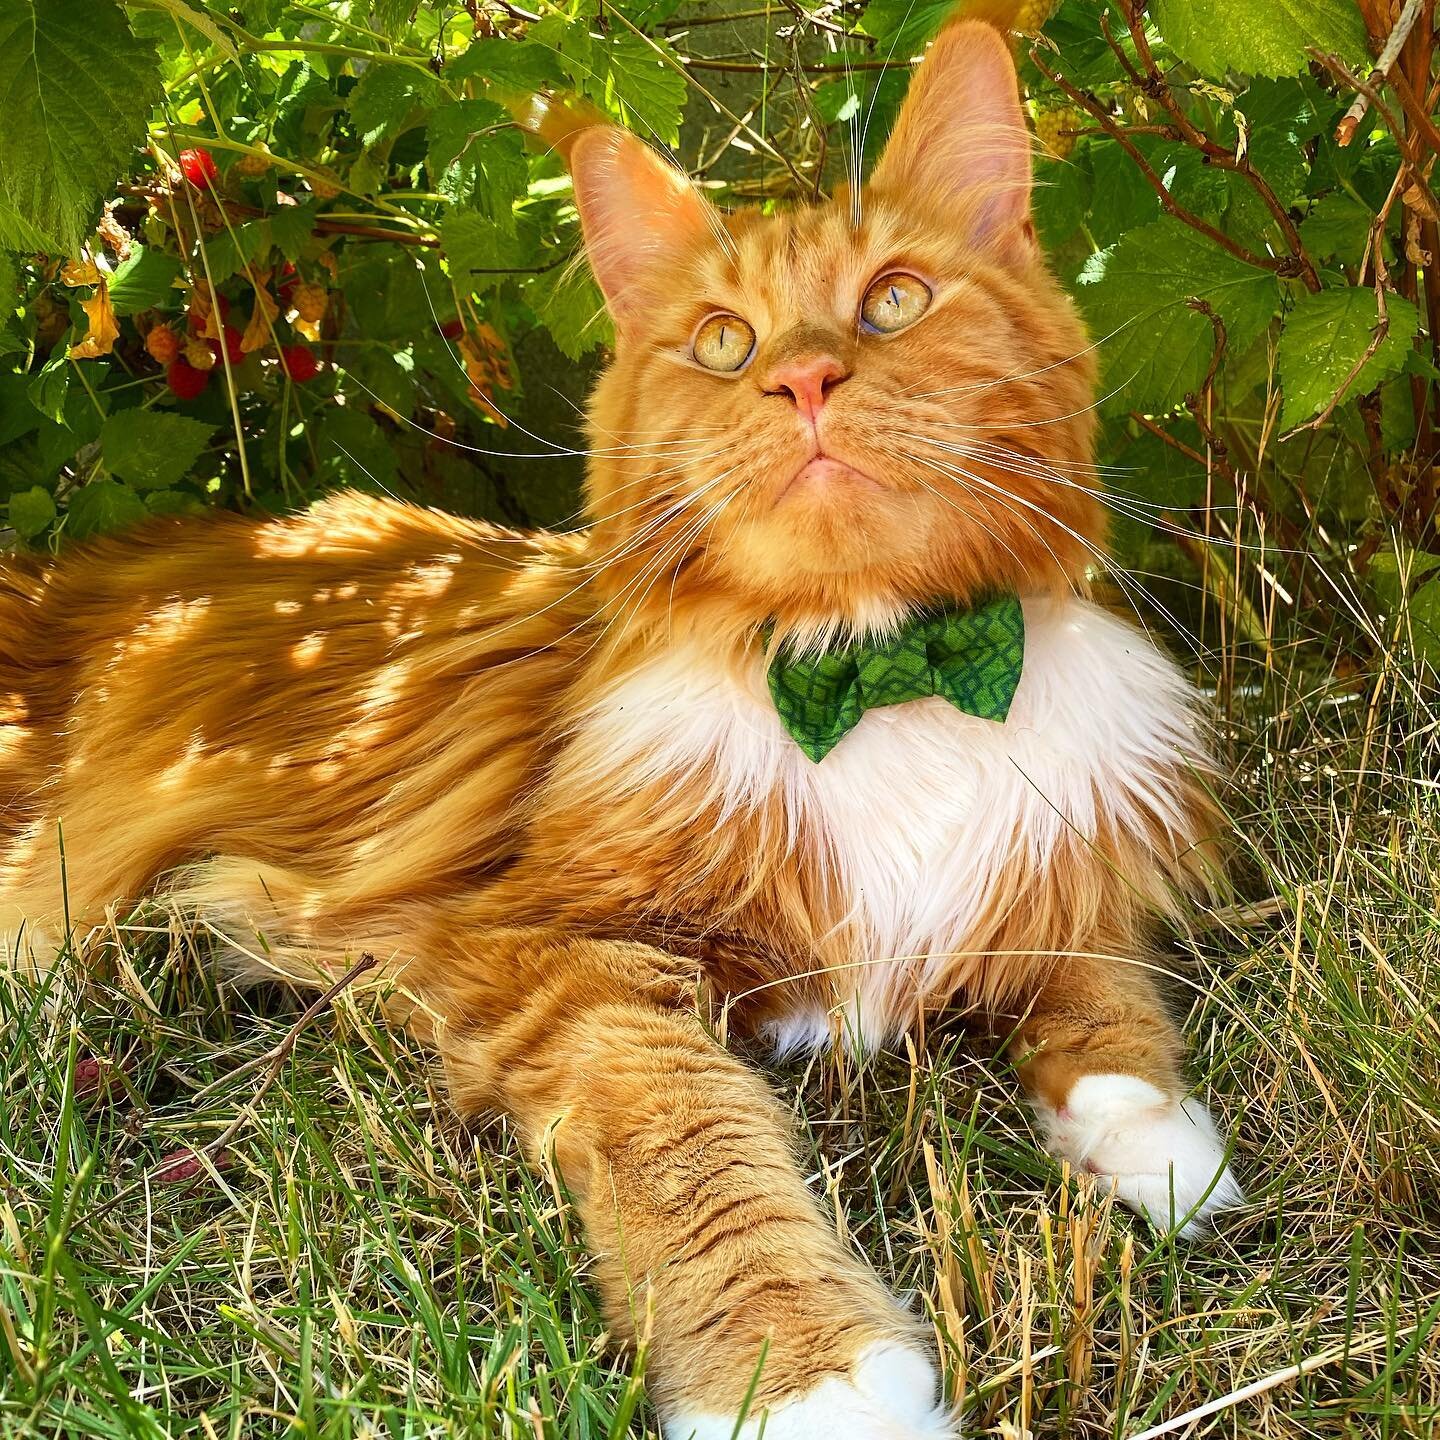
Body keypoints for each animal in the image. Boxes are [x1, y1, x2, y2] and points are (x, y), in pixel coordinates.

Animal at [0, 14, 1238, 1440]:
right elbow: (702, 1155)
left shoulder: (1053, 868)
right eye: (724, 342)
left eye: (893, 301)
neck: (874, 671)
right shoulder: (565, 953)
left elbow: (1104, 996)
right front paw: (807, 1378)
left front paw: (1161, 1147)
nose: (804, 379)